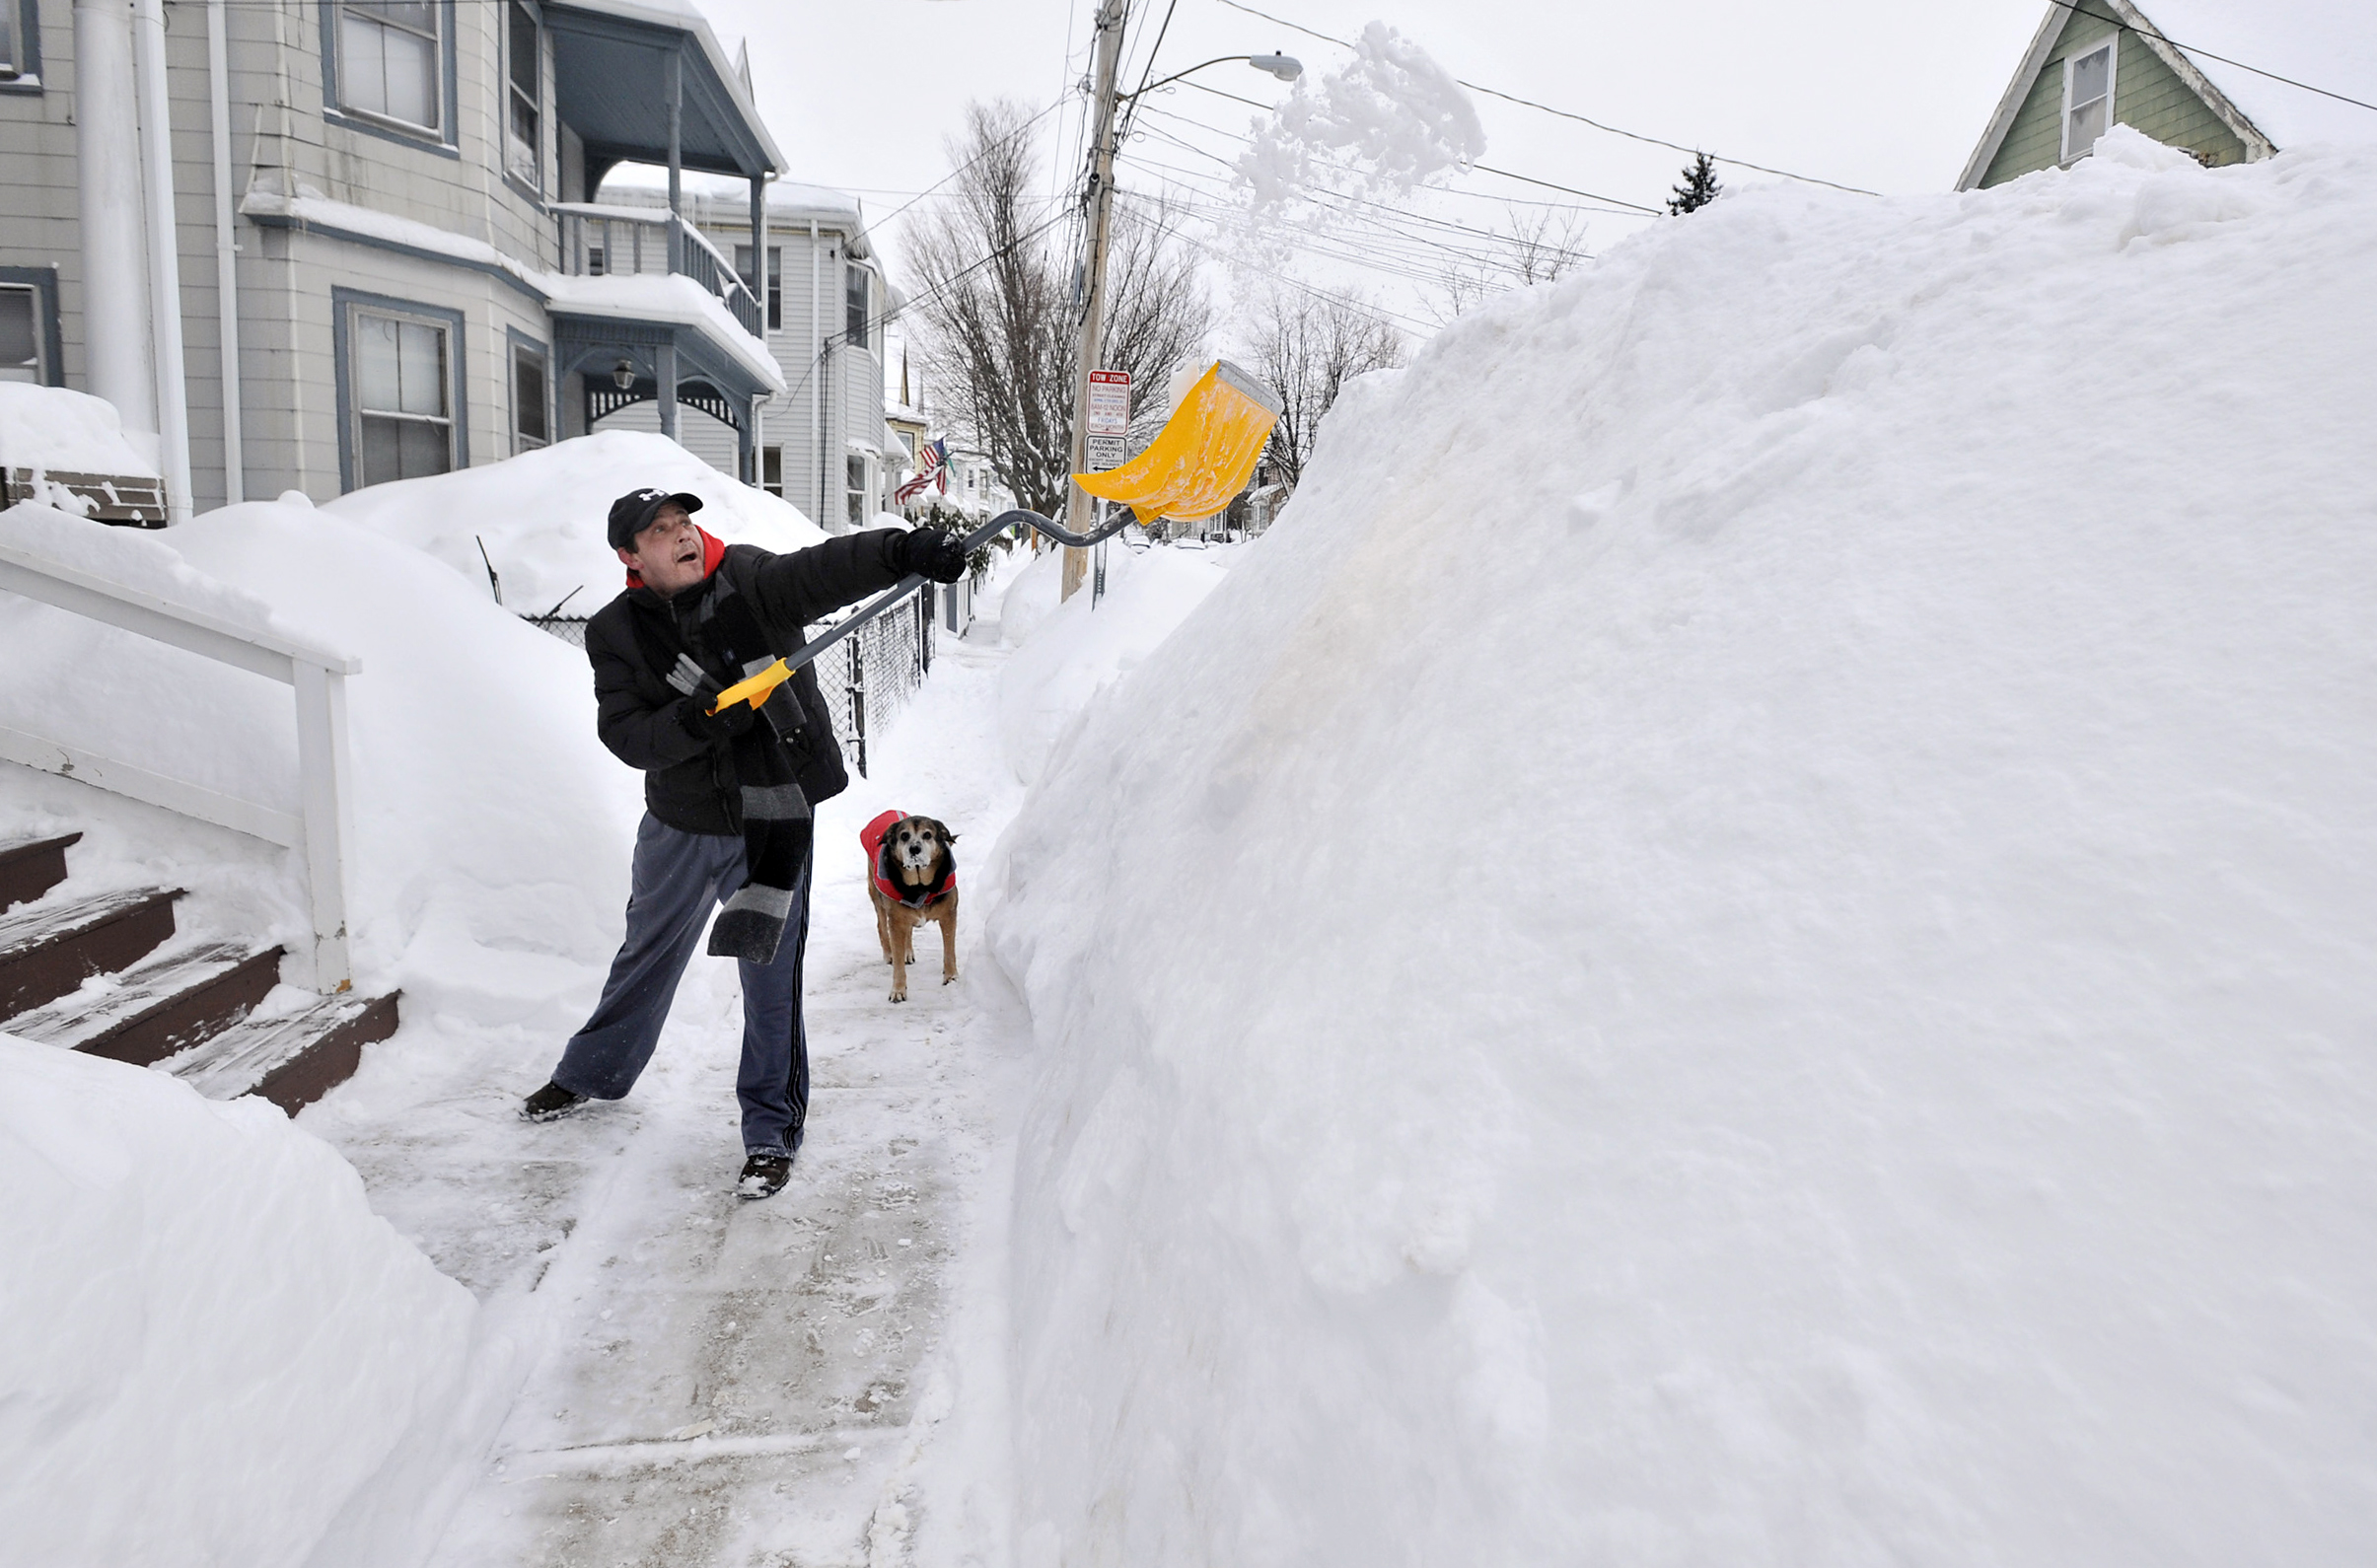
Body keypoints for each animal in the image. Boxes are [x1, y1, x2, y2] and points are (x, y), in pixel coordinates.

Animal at [865, 808, 955, 1002]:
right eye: (904, 836)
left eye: (927, 835)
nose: (915, 848)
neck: (920, 886)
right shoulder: (896, 920)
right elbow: (898, 963)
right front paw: (898, 991)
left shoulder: (949, 915)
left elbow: (949, 950)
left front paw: (951, 978)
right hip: (878, 897)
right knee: (882, 926)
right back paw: (889, 954)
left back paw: (908, 952)